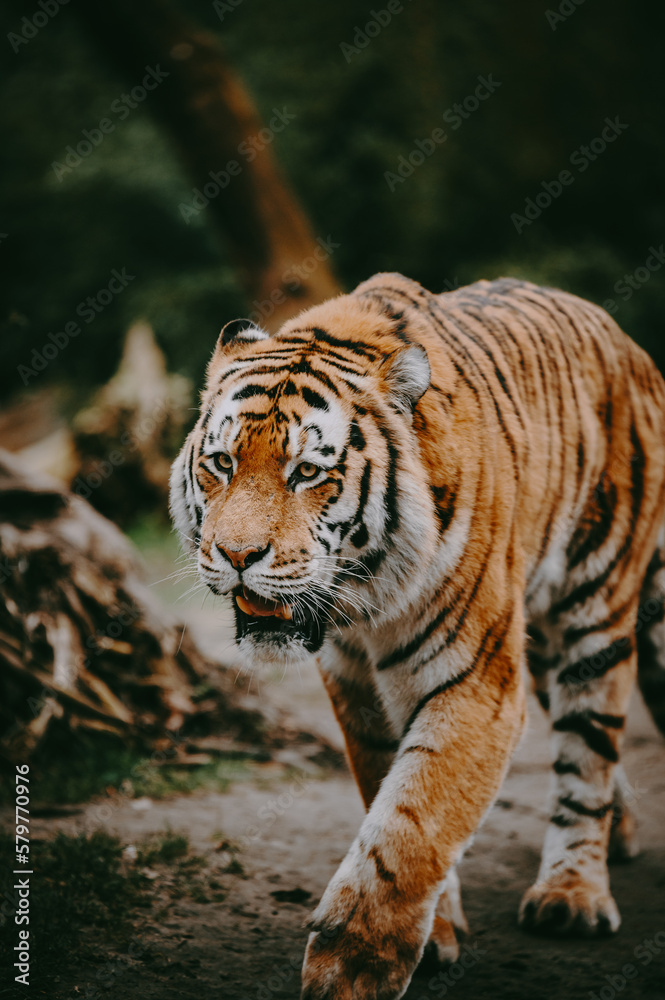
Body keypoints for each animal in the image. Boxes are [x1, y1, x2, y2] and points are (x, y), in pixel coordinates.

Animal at [170, 272, 665, 1000]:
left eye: (307, 472)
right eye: (222, 463)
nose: (235, 556)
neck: (366, 604)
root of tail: (626, 339)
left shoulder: (479, 683)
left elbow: (412, 825)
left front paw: (351, 971)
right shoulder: (354, 685)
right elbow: (386, 791)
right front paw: (434, 934)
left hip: (595, 608)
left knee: (588, 756)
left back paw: (572, 897)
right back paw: (620, 833)